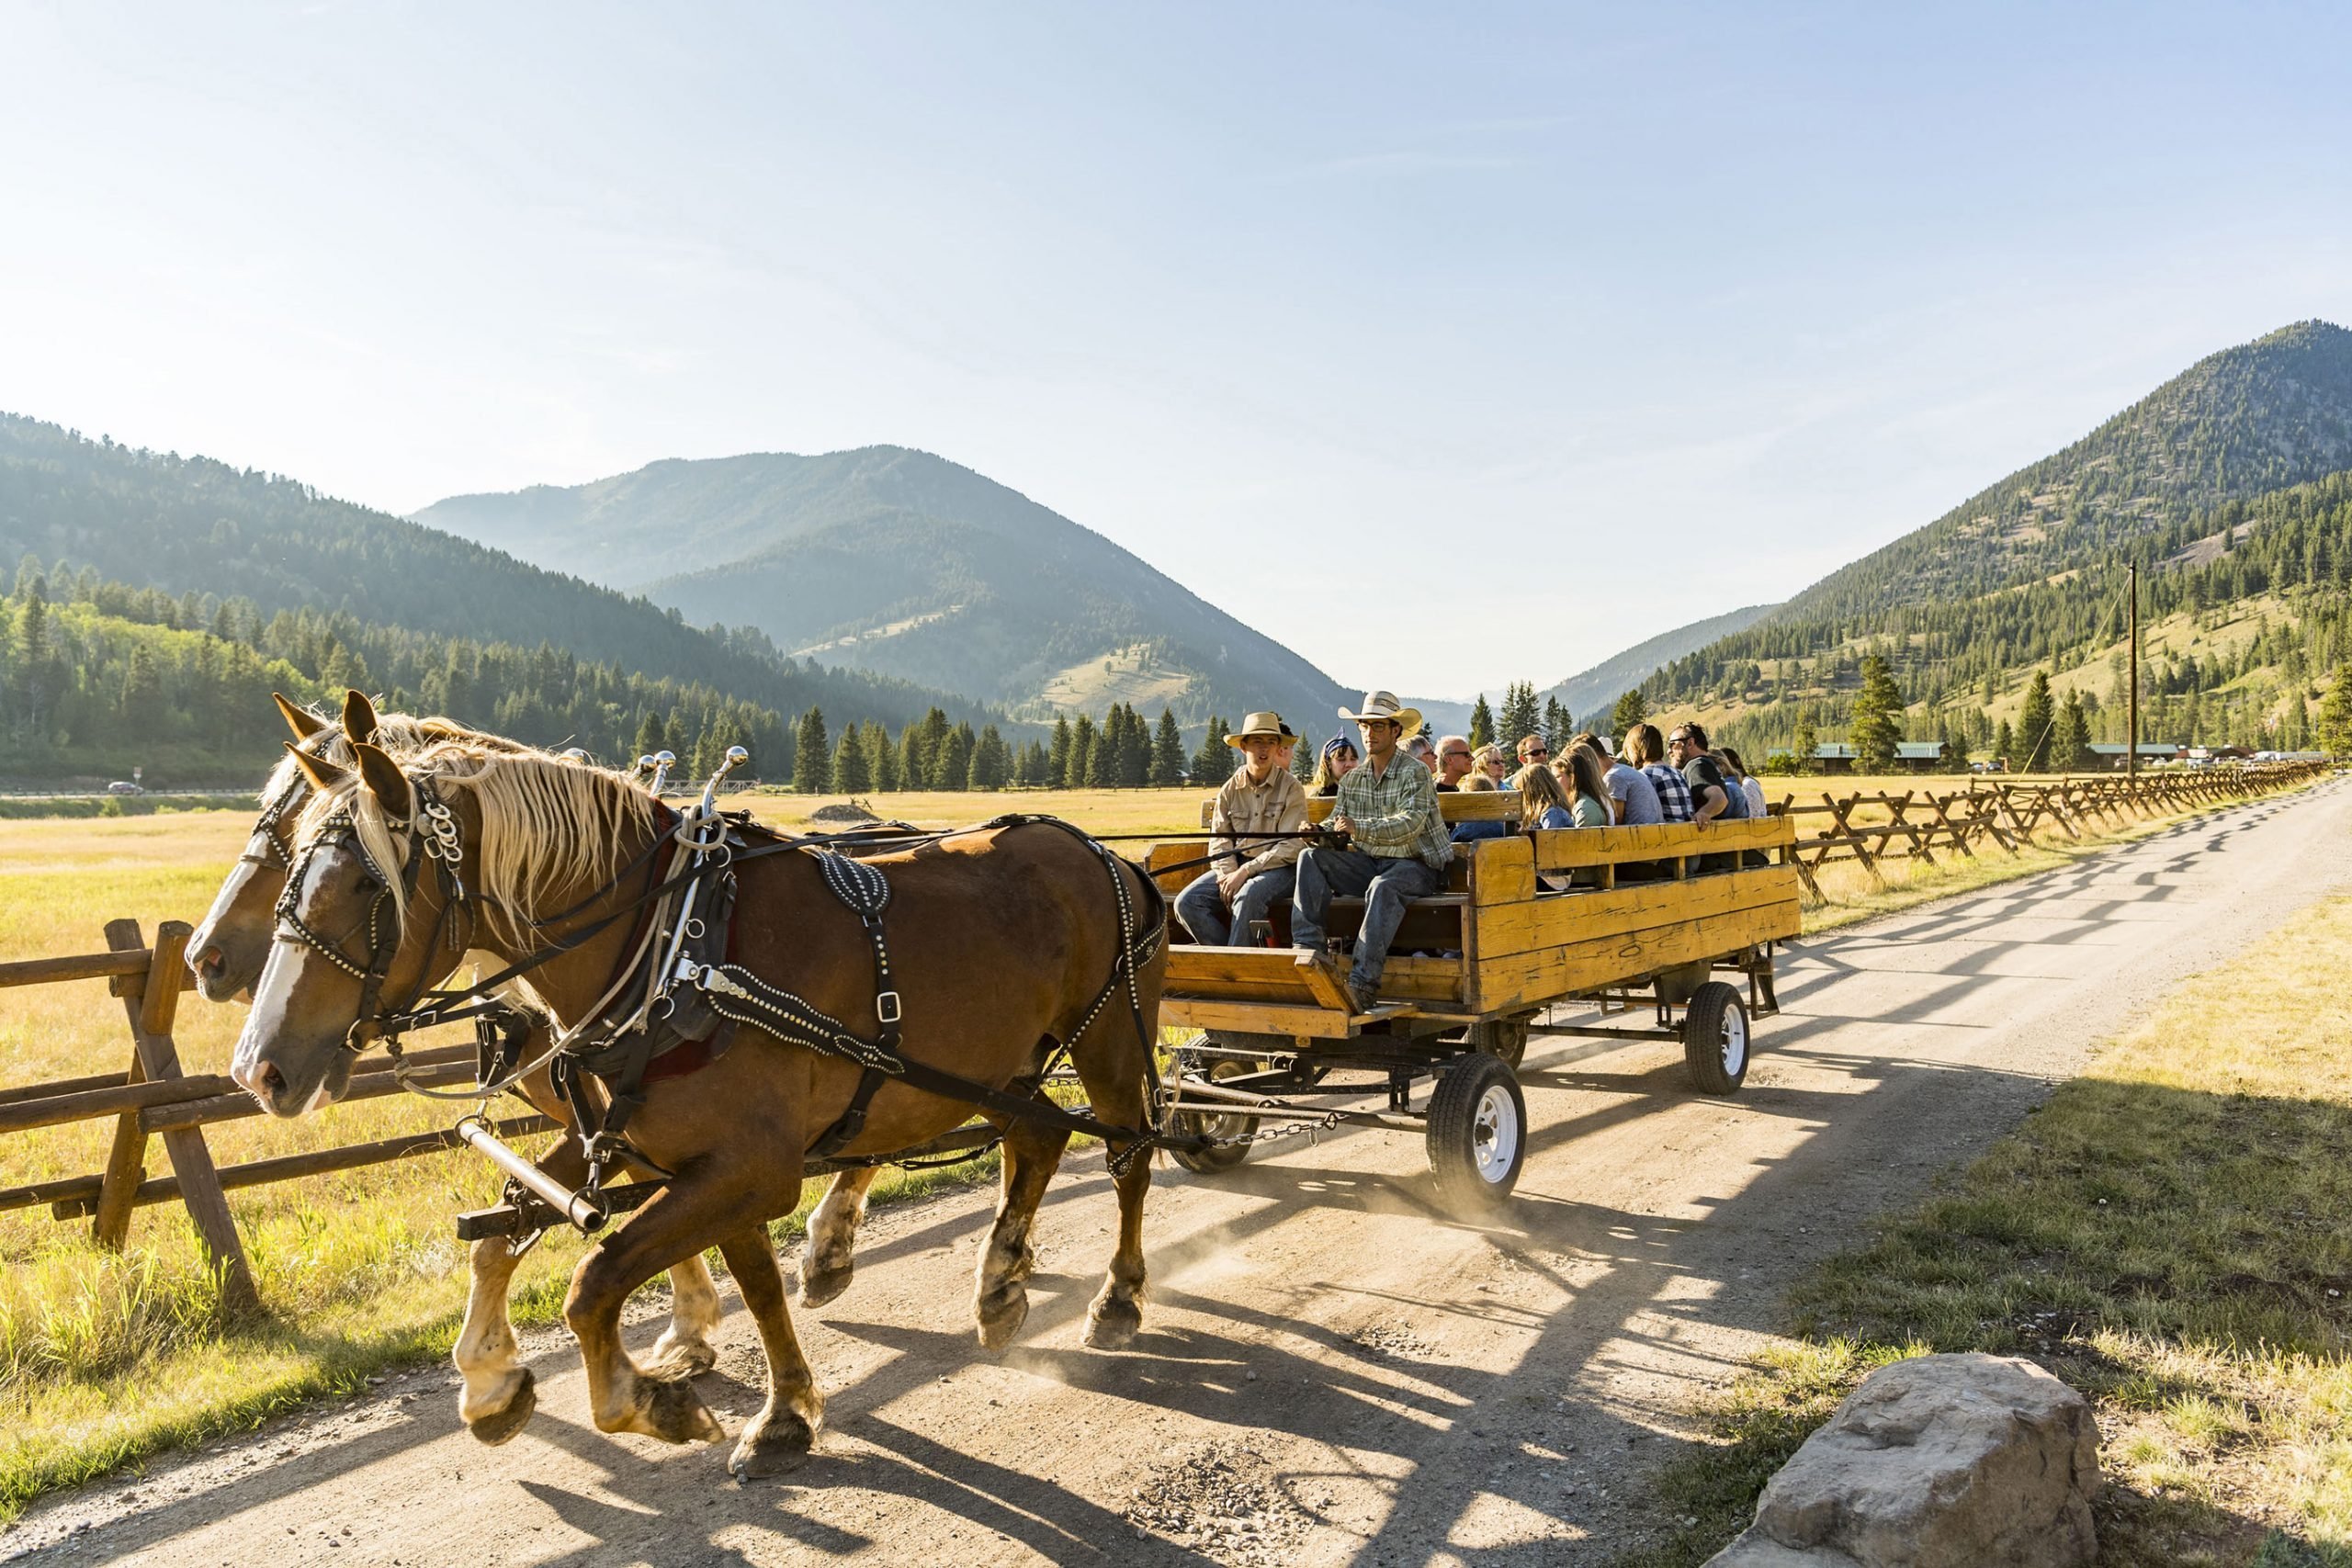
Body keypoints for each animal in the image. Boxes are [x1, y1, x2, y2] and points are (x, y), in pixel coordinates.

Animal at [229, 742, 1166, 1476]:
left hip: (1112, 1045)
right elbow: (525, 1235)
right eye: (292, 863)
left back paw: (1117, 1298)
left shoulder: (748, 1167)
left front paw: (655, 1401)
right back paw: (1000, 1282)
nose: (258, 1069)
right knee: (1036, 1138)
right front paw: (499, 1380)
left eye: (366, 886)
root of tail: (1111, 857)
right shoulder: (675, 1155)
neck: (673, 948)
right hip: (1000, 1067)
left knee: (1131, 1155)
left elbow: (594, 1278)